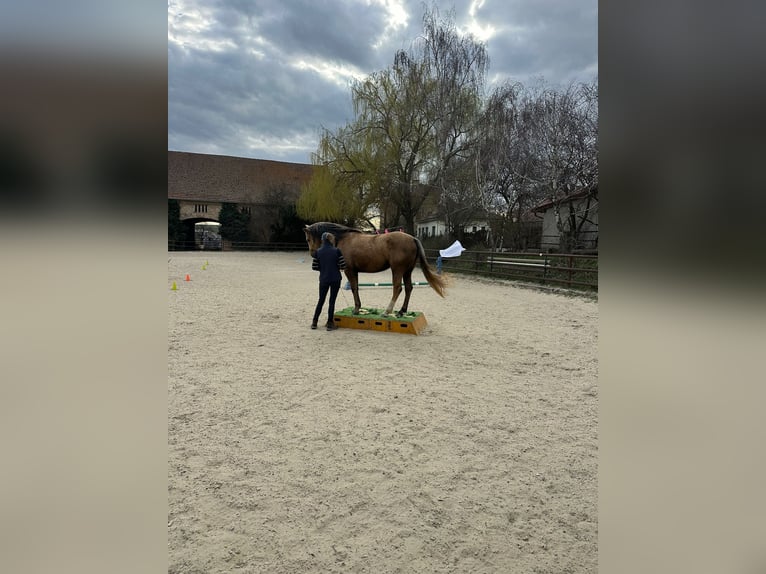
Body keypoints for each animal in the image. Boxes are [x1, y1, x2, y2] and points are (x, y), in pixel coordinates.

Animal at [304, 222, 446, 317]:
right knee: (408, 288)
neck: (343, 239)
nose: (312, 253)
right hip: (407, 271)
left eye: (308, 238)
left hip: (397, 270)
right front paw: (358, 308)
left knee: (397, 288)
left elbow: (354, 288)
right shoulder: (354, 271)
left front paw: (356, 309)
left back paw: (387, 311)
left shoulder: (349, 270)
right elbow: (356, 288)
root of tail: (412, 238)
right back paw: (401, 311)